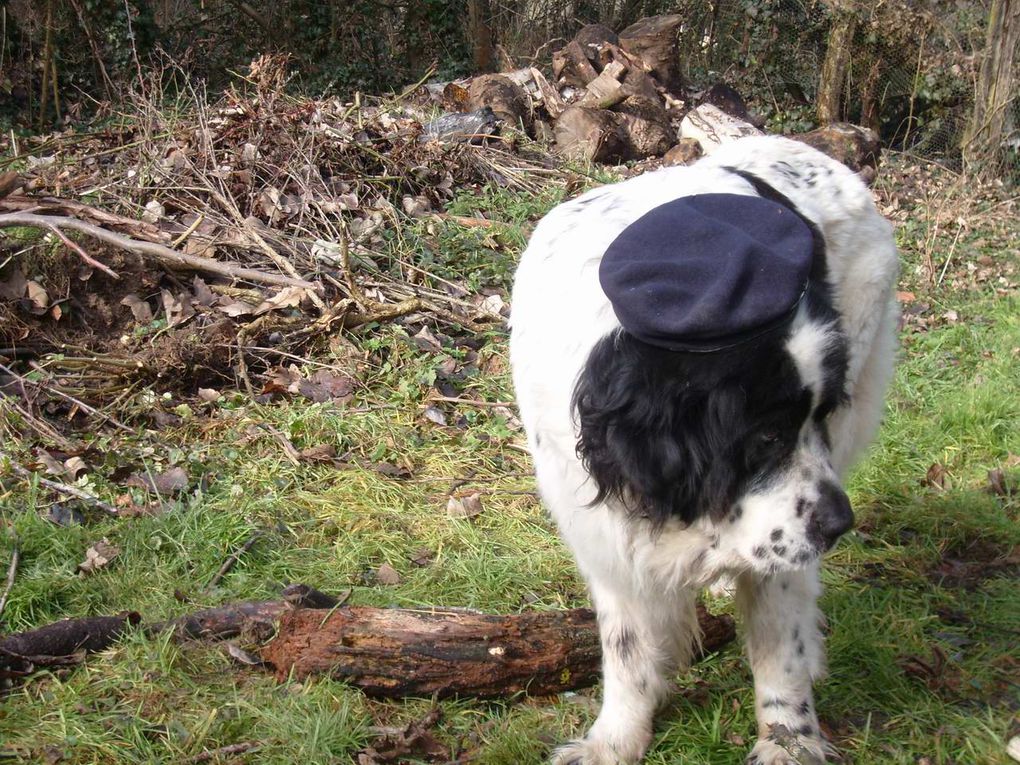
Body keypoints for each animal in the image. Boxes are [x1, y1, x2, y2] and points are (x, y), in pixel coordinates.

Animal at [510, 139, 901, 765]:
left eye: (817, 416)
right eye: (765, 437)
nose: (841, 524)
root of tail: (821, 154)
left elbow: (779, 644)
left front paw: (789, 741)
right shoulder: (603, 535)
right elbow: (626, 645)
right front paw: (614, 740)